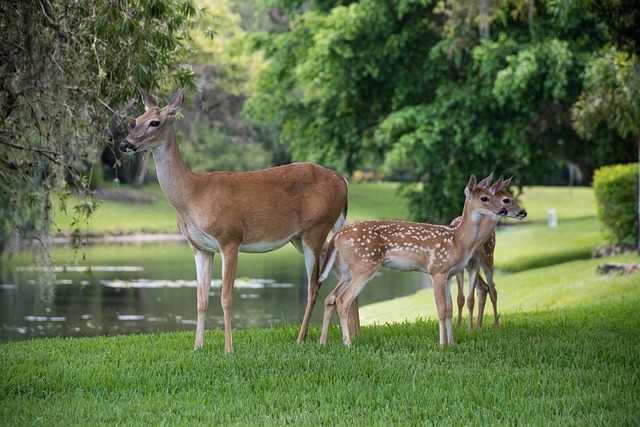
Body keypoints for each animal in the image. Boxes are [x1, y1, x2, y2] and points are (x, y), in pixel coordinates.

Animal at [117, 88, 348, 352]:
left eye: (154, 122)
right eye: (136, 119)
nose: (124, 144)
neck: (193, 195)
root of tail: (343, 181)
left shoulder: (230, 237)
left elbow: (226, 297)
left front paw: (229, 348)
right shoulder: (200, 248)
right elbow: (201, 299)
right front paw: (197, 347)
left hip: (316, 229)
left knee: (314, 285)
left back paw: (302, 338)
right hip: (300, 238)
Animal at [318, 175, 504, 348]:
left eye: (493, 195)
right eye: (484, 198)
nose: (502, 210)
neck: (458, 239)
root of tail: (336, 236)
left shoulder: (449, 274)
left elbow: (450, 309)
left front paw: (452, 342)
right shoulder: (437, 269)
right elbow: (441, 309)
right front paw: (442, 344)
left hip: (347, 271)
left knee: (330, 297)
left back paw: (323, 342)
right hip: (364, 265)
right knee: (343, 300)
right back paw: (348, 344)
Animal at [450, 176, 524, 330]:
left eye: (512, 197)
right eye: (506, 200)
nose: (523, 212)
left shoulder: (476, 262)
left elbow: (471, 297)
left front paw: (470, 328)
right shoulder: (462, 266)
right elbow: (460, 298)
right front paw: (460, 327)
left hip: (489, 258)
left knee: (491, 289)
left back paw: (494, 324)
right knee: (484, 288)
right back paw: (479, 325)